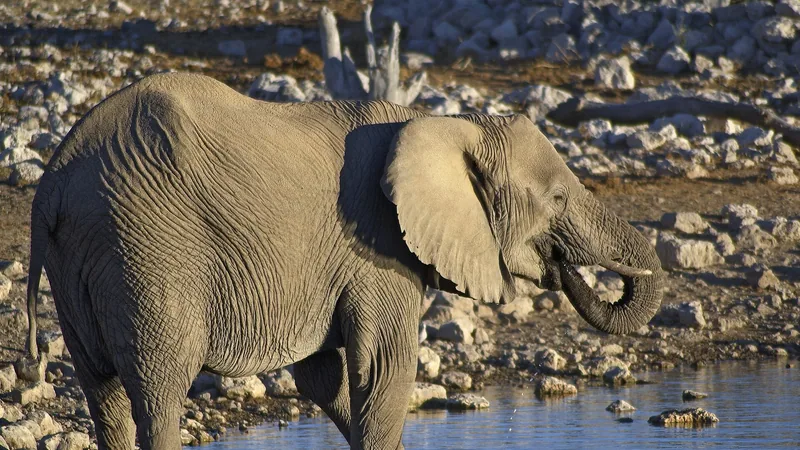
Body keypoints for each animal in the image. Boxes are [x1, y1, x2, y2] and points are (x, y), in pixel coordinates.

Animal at [25, 72, 663, 449]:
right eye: (555, 200)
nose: (564, 267)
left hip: (86, 259)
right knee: (158, 394)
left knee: (104, 395)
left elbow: (326, 378)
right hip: (146, 252)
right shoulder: (376, 248)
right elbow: (383, 369)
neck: (444, 123)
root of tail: (51, 185)